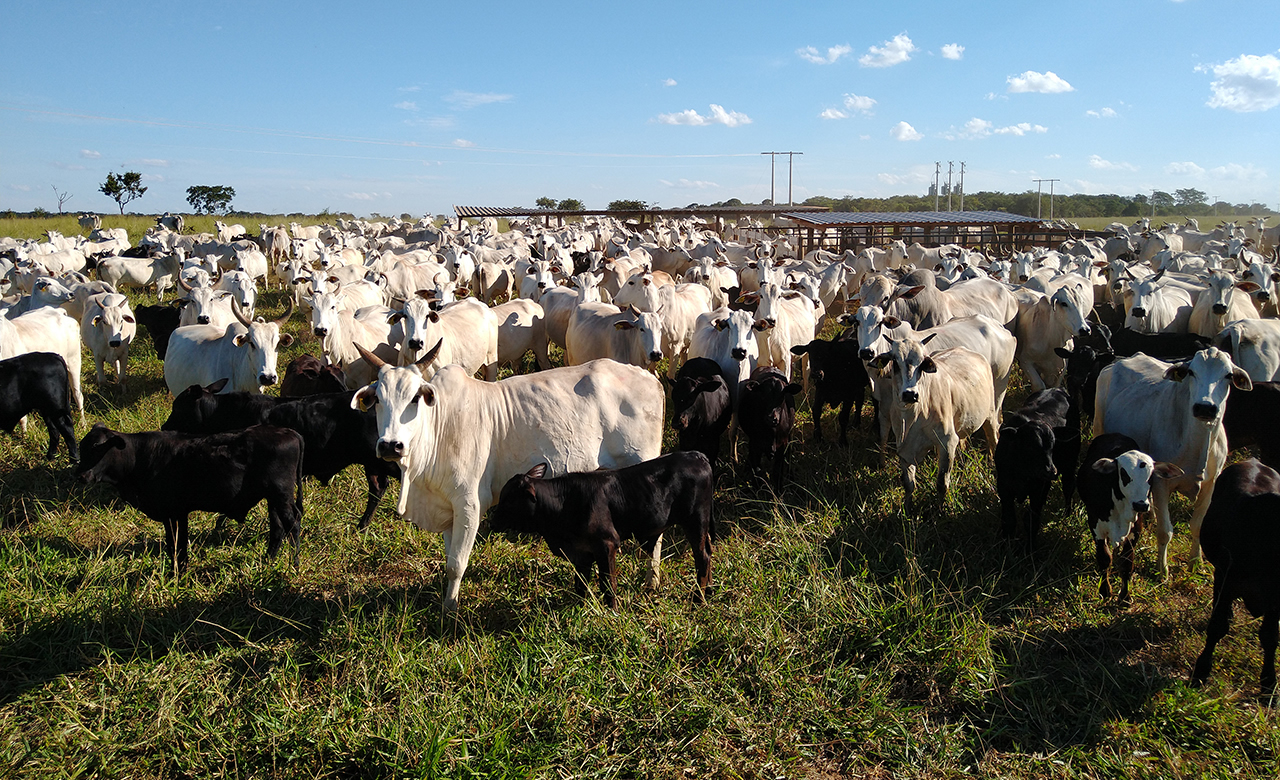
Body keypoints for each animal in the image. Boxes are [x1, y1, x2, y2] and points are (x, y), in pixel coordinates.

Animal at [355, 345, 665, 614]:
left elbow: (456, 565)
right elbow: (449, 559)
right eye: (378, 400)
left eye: (415, 398)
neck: (438, 427)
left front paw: (450, 612)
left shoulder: (469, 505)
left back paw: (652, 581)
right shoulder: (448, 507)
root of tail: (648, 377)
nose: (390, 445)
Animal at [488, 450, 716, 609]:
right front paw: (579, 608)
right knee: (708, 552)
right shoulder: (582, 553)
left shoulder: (607, 544)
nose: (492, 520)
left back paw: (698, 600)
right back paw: (709, 591)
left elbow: (608, 584)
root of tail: (697, 455)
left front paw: (612, 611)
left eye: (509, 500)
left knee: (702, 557)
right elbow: (580, 584)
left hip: (695, 521)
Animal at [1187, 455, 1280, 691]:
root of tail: (1254, 461)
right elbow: (1217, 626)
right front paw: (1201, 671)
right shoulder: (1226, 580)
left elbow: (1270, 636)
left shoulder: (1275, 600)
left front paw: (1269, 681)